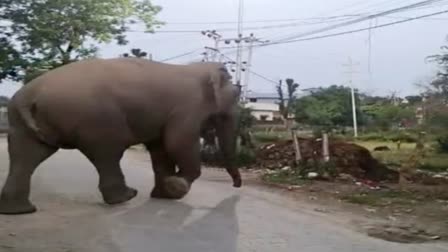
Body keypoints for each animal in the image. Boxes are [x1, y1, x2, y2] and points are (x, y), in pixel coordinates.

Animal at [0, 57, 242, 215]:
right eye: (237, 95)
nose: (236, 186)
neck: (199, 68)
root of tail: (28, 95)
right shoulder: (188, 108)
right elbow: (177, 143)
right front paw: (176, 188)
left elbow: (160, 149)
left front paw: (163, 194)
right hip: (96, 118)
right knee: (108, 153)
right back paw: (127, 196)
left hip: (22, 123)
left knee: (26, 156)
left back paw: (20, 211)